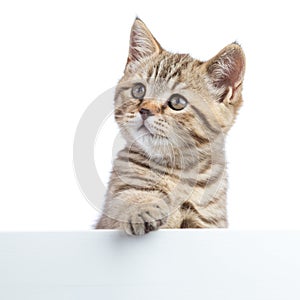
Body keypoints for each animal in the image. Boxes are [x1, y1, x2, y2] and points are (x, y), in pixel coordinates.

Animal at [96, 17, 246, 236]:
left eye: (177, 102)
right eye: (139, 90)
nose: (145, 110)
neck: (178, 171)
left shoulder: (208, 221)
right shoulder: (113, 208)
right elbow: (130, 198)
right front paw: (142, 209)